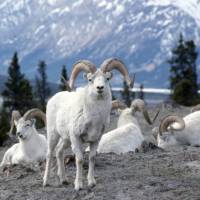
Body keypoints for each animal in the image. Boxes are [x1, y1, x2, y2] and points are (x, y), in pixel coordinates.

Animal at [42, 58, 133, 191]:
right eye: (90, 79)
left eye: (107, 78)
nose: (99, 87)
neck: (94, 117)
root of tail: (52, 99)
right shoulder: (76, 138)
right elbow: (79, 159)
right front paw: (78, 185)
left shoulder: (95, 140)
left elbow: (92, 158)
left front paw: (91, 183)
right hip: (53, 135)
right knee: (49, 154)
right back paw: (45, 181)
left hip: (66, 139)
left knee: (59, 151)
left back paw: (64, 180)